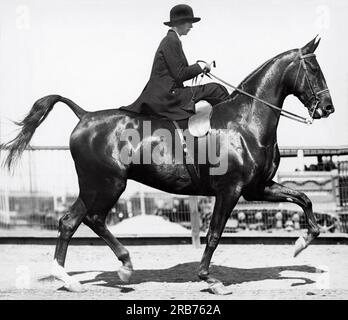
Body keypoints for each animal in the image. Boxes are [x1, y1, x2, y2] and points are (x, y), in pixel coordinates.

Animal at [2, 36, 334, 294]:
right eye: (313, 68)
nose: (328, 108)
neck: (246, 122)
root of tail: (84, 116)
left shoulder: (257, 188)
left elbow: (304, 199)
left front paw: (301, 243)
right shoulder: (230, 191)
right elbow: (214, 234)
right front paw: (208, 279)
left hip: (93, 186)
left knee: (69, 222)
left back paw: (68, 280)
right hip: (109, 184)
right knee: (94, 219)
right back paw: (125, 265)